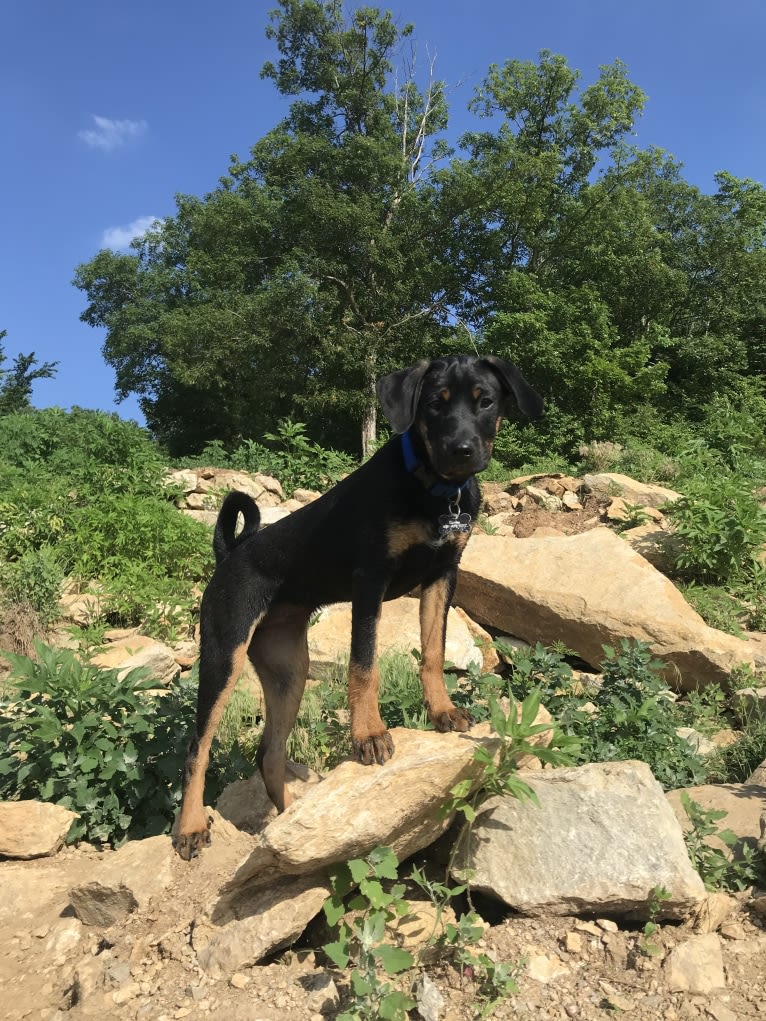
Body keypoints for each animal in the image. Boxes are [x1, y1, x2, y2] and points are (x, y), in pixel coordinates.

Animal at [173, 355, 547, 857]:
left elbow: (433, 652)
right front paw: (369, 735)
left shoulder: (442, 576)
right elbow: (364, 665)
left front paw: (443, 711)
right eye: (435, 404)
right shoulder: (370, 580)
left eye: (485, 401)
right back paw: (191, 827)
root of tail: (228, 553)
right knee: (198, 747)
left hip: (288, 669)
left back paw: (287, 826)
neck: (432, 489)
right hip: (224, 653)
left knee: (269, 754)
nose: (462, 451)